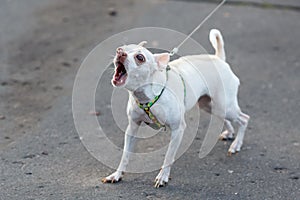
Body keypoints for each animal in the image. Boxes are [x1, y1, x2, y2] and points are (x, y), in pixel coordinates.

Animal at [102, 28, 250, 187]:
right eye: (121, 48)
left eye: (140, 57)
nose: (120, 52)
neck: (147, 96)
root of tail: (219, 59)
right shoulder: (132, 129)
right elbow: (125, 155)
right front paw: (117, 175)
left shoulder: (178, 130)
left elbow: (168, 157)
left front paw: (162, 177)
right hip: (210, 105)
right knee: (225, 118)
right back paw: (229, 133)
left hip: (225, 106)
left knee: (244, 119)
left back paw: (236, 144)